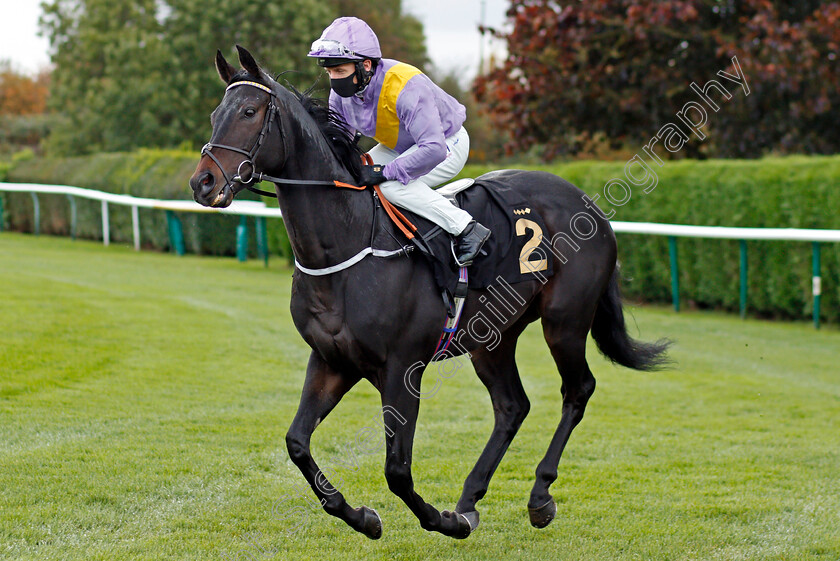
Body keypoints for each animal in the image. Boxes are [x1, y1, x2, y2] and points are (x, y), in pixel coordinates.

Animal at [189, 47, 668, 540]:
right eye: (215, 114)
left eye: (249, 112)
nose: (203, 182)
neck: (347, 245)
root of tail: (589, 205)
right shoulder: (331, 360)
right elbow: (297, 443)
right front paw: (363, 517)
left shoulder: (403, 367)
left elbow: (397, 470)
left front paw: (442, 522)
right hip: (492, 339)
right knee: (512, 406)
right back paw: (470, 498)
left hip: (565, 322)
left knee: (578, 390)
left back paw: (538, 496)